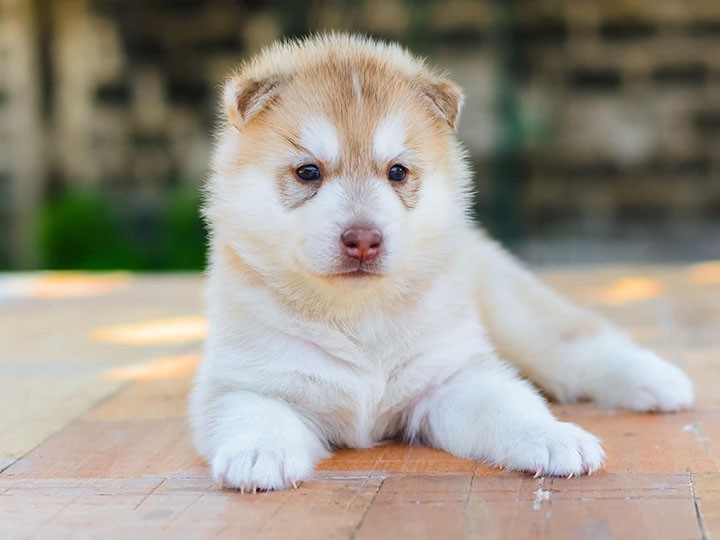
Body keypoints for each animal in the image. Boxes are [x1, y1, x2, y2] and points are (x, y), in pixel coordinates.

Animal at [188, 32, 696, 490]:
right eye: (308, 172)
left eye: (398, 172)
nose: (363, 240)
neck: (358, 318)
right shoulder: (243, 380)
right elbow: (255, 410)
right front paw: (260, 452)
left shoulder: (452, 376)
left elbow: (510, 406)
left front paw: (553, 437)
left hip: (516, 319)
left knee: (578, 346)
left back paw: (660, 381)